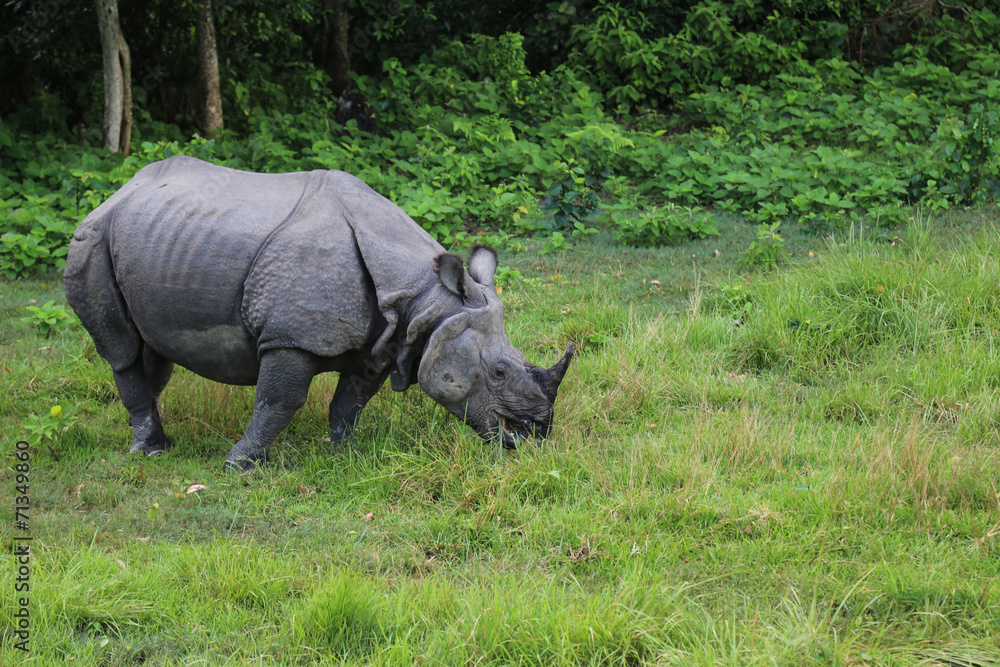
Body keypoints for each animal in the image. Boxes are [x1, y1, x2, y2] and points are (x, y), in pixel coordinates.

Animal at [64, 156, 572, 470]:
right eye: (499, 373)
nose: (538, 432)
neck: (428, 300)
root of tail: (119, 190)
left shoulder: (384, 339)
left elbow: (351, 399)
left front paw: (346, 453)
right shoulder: (290, 338)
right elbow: (279, 400)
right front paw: (240, 466)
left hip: (153, 238)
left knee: (152, 350)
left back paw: (156, 439)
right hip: (91, 238)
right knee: (122, 349)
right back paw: (151, 453)